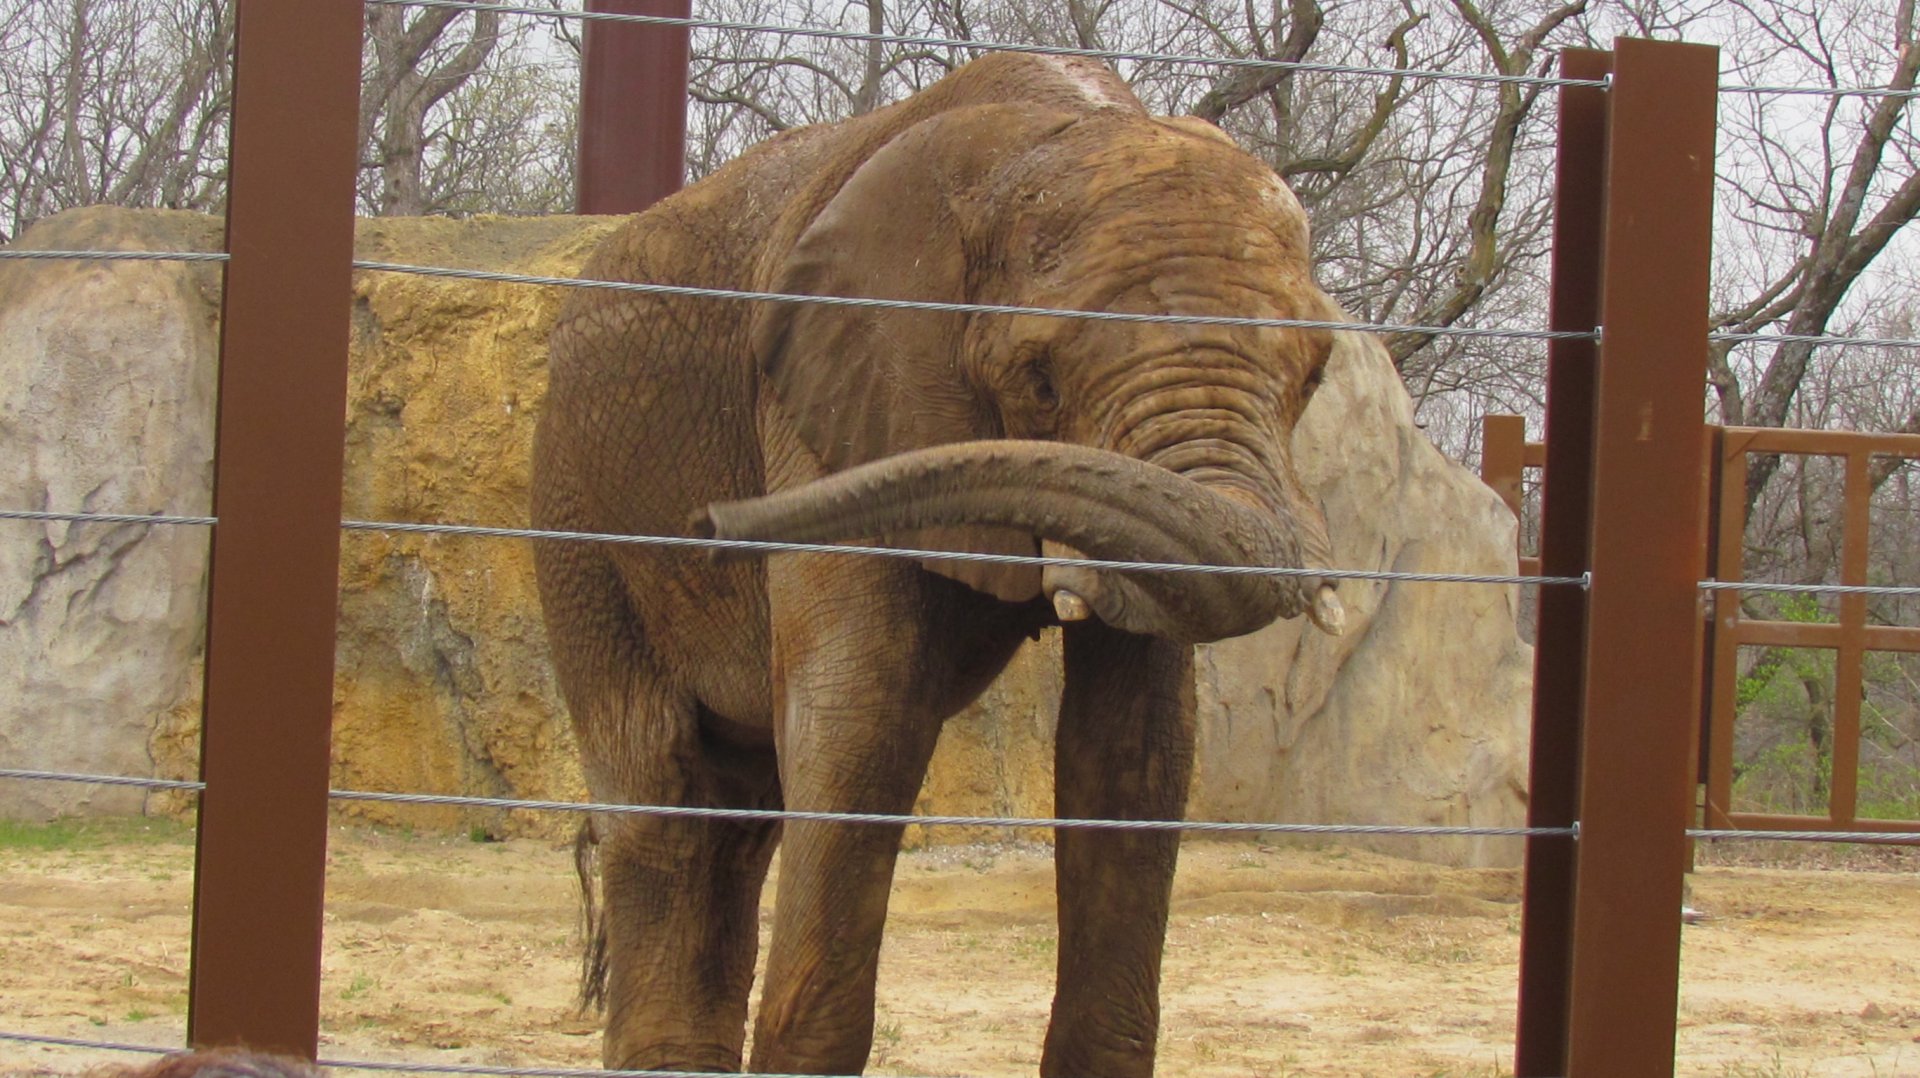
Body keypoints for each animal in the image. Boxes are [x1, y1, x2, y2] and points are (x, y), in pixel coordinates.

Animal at [531, 50, 1346, 1077]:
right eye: (1039, 378)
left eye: (1315, 375)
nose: (712, 523)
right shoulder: (818, 410)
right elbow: (863, 719)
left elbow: (1136, 748)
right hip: (578, 516)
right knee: (663, 795)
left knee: (739, 813)